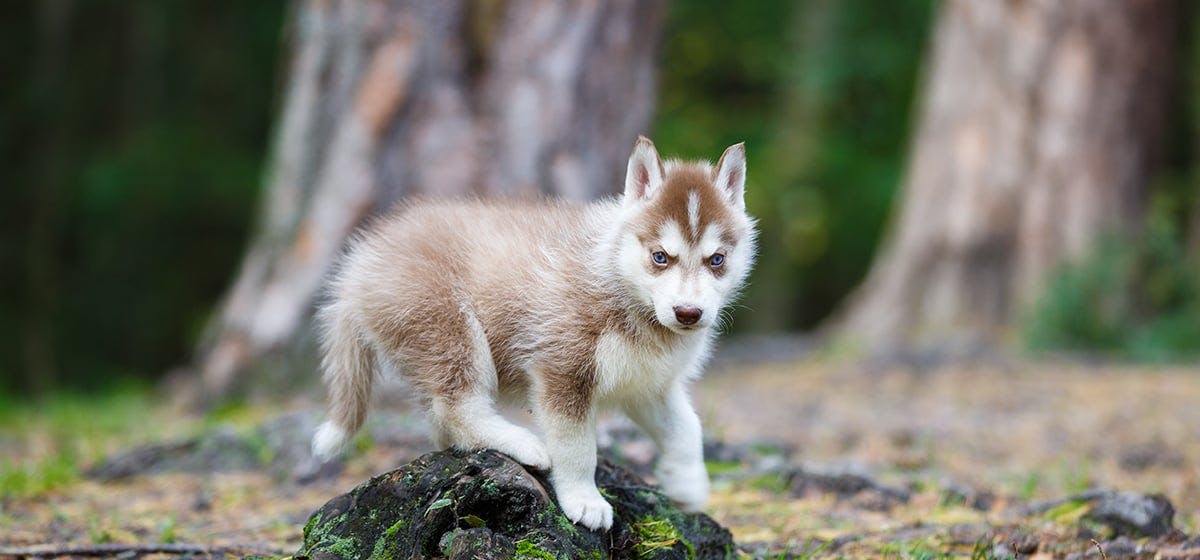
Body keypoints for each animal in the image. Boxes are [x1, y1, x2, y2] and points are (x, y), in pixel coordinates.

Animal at [314, 137, 753, 530]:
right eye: (660, 257)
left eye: (717, 260)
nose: (688, 313)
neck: (616, 279)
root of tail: (358, 264)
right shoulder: (563, 370)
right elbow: (578, 448)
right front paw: (584, 499)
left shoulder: (649, 385)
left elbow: (688, 430)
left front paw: (688, 484)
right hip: (450, 329)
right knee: (455, 407)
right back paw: (521, 443)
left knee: (441, 421)